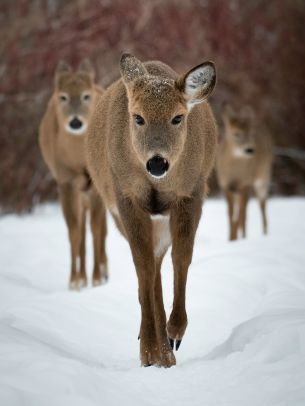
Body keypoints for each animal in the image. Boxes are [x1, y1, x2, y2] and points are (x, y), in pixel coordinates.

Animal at [39, 58, 108, 290]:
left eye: (86, 95)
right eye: (63, 97)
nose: (75, 122)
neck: (79, 159)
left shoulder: (95, 184)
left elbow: (96, 228)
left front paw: (97, 278)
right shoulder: (65, 181)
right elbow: (74, 231)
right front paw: (75, 280)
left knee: (101, 229)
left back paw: (103, 270)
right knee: (82, 230)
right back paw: (83, 276)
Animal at [85, 54, 216, 368]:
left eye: (177, 117)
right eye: (138, 117)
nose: (157, 162)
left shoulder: (192, 192)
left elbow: (182, 257)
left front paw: (176, 330)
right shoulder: (126, 197)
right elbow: (142, 265)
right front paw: (147, 349)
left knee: (159, 261)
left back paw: (167, 350)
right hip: (119, 212)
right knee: (150, 266)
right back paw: (159, 351)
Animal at [215, 103, 272, 241]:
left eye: (251, 134)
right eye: (236, 134)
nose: (250, 149)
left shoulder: (246, 183)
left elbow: (242, 214)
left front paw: (238, 238)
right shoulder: (225, 185)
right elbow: (230, 214)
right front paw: (231, 238)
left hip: (263, 176)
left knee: (262, 204)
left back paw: (264, 233)